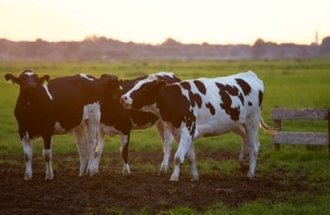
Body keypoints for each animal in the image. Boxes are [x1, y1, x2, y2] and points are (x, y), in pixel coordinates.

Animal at [120, 71, 270, 181]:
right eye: (136, 85)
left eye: (145, 88)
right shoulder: (180, 133)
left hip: (252, 121)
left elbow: (178, 157)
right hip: (237, 123)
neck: (177, 99)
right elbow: (190, 156)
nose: (123, 98)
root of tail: (250, 75)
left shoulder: (188, 131)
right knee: (247, 140)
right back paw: (243, 162)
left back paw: (250, 174)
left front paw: (174, 177)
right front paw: (194, 176)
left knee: (254, 147)